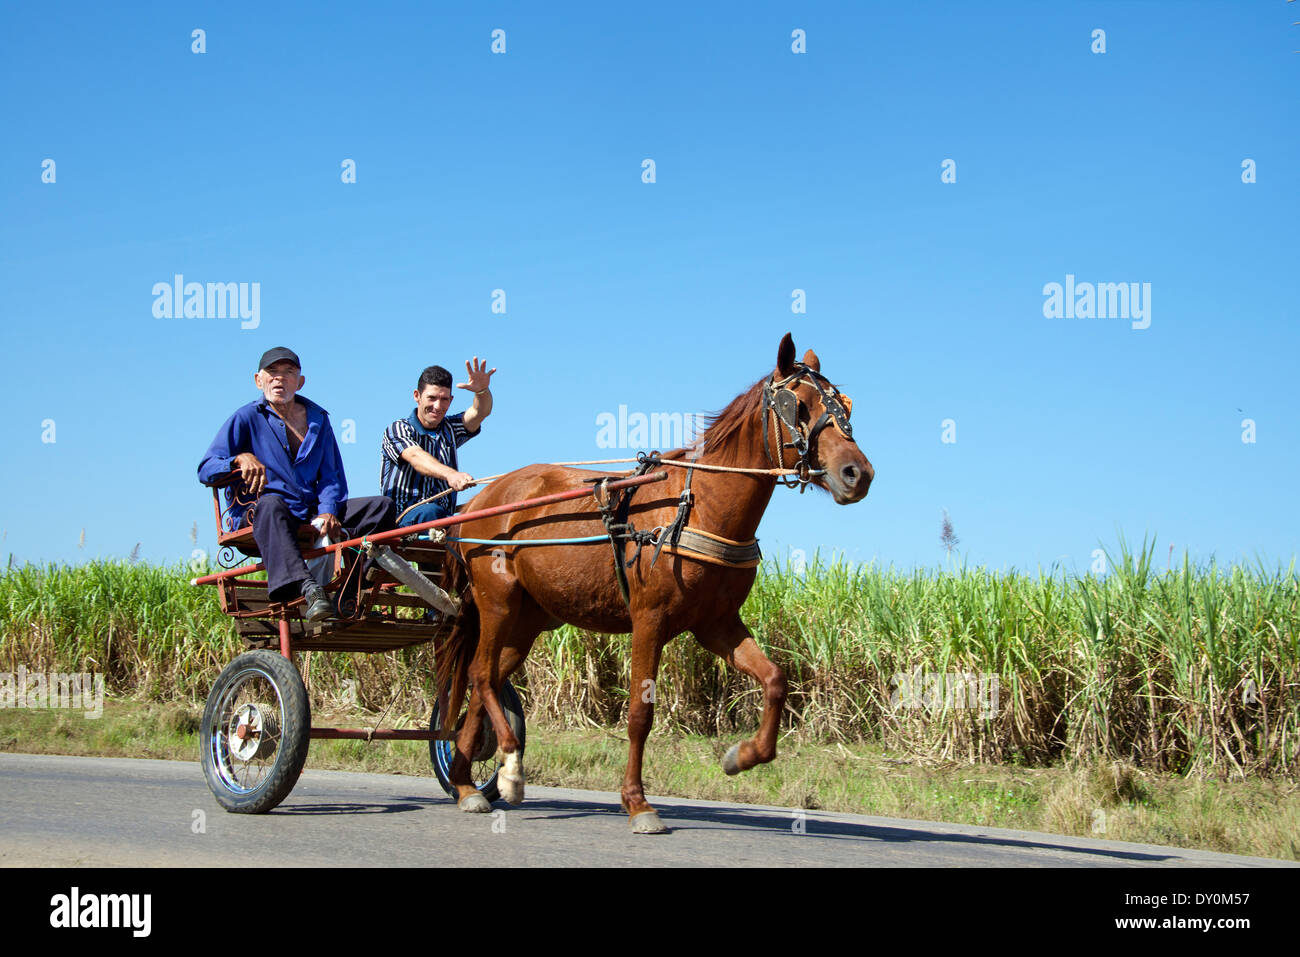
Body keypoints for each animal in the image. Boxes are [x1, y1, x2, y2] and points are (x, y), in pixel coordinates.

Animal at [436, 332, 873, 832]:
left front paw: (742, 756)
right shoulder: (649, 621)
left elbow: (775, 680)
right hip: (498, 602)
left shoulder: (716, 624)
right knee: (481, 675)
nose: (858, 473)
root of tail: (480, 500)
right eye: (796, 404)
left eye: (845, 405)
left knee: (482, 681)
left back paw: (466, 783)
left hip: (529, 620)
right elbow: (639, 714)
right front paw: (637, 802)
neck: (697, 508)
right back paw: (508, 767)